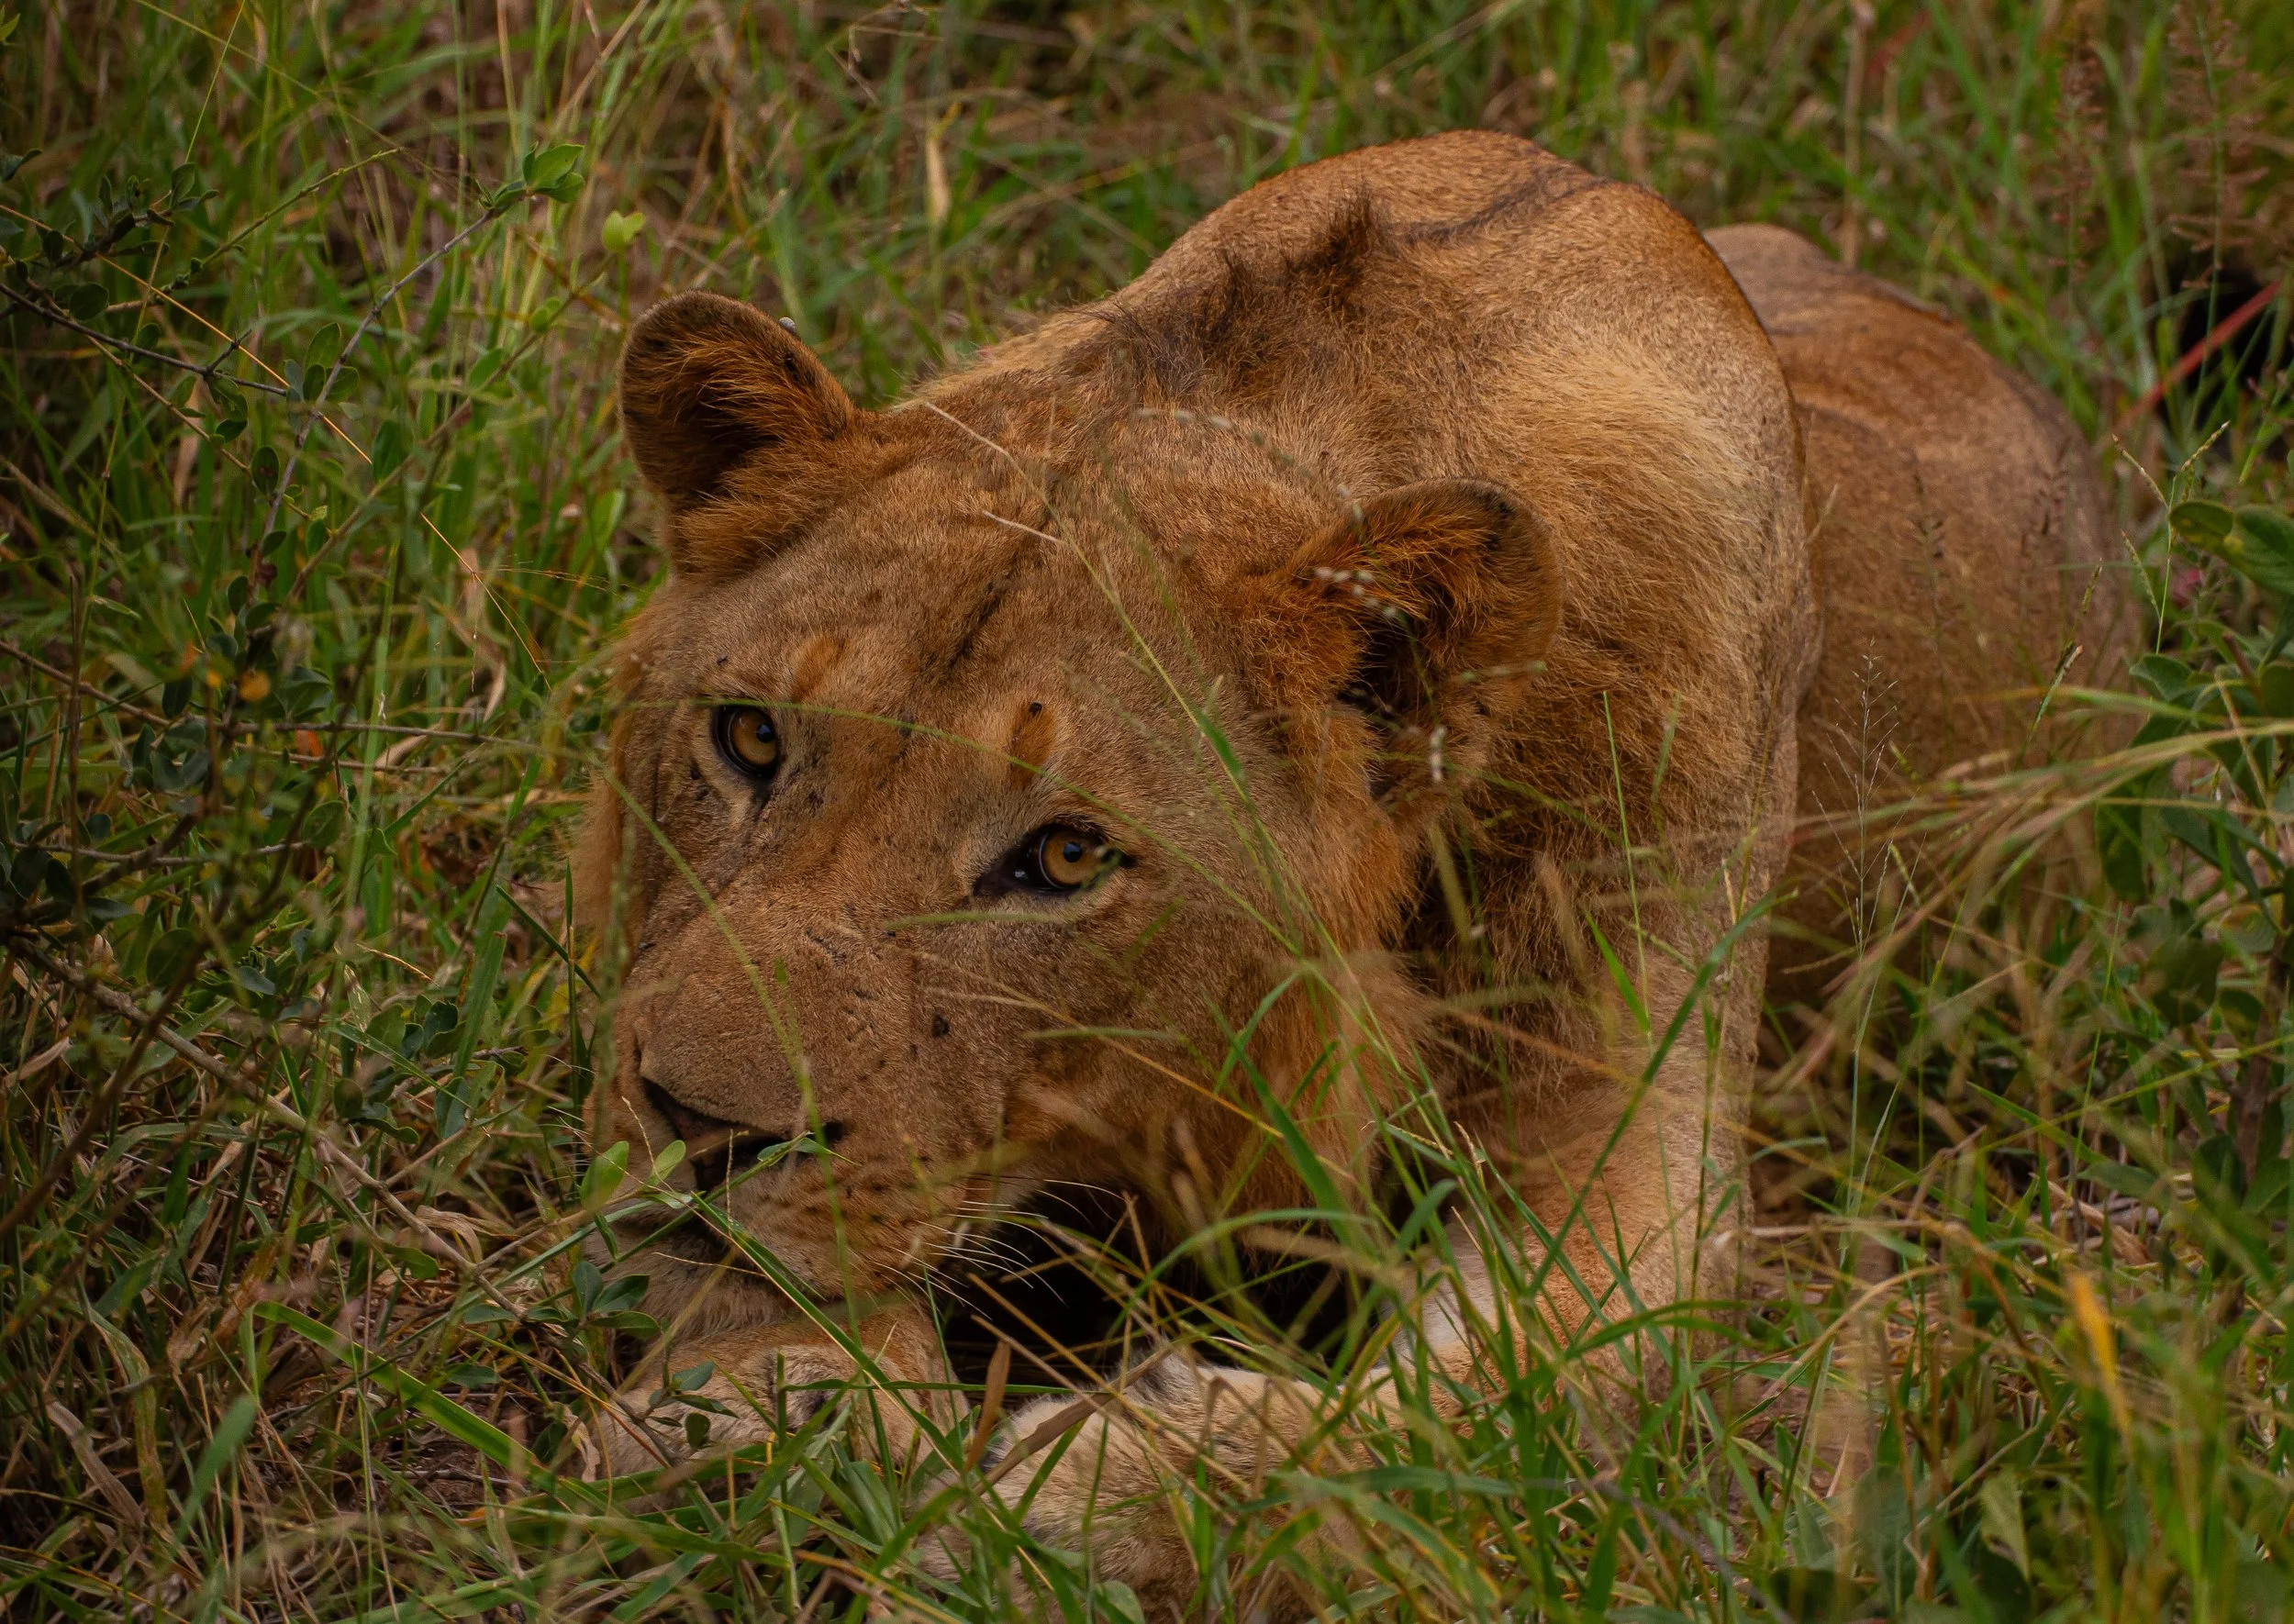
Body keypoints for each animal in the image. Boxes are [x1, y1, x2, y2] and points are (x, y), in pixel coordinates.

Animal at [572, 130, 2114, 1606]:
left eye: (1064, 857)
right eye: (750, 737)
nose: (696, 1129)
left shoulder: (1649, 1184)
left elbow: (1492, 1399)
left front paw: (1107, 1495)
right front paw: (767, 1396)